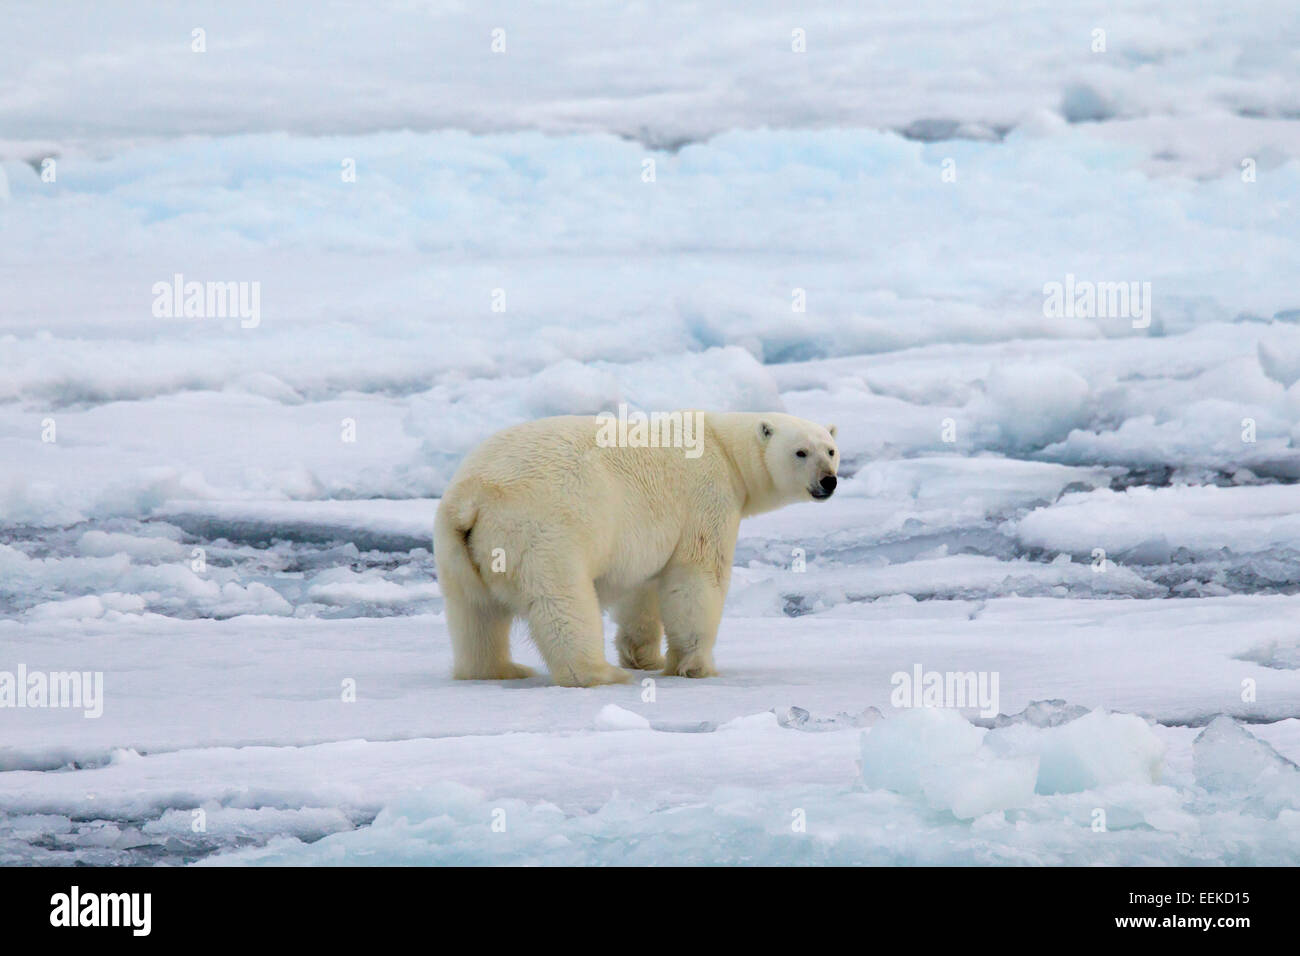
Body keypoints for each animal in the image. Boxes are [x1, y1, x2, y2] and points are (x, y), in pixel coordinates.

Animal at [434, 411, 842, 686]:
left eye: (831, 450)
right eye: (801, 452)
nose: (829, 481)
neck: (725, 449)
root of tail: (472, 497)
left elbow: (642, 590)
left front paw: (644, 656)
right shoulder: (706, 500)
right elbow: (697, 579)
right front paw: (697, 665)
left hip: (457, 549)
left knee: (474, 613)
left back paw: (498, 669)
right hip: (541, 533)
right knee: (562, 604)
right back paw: (600, 673)